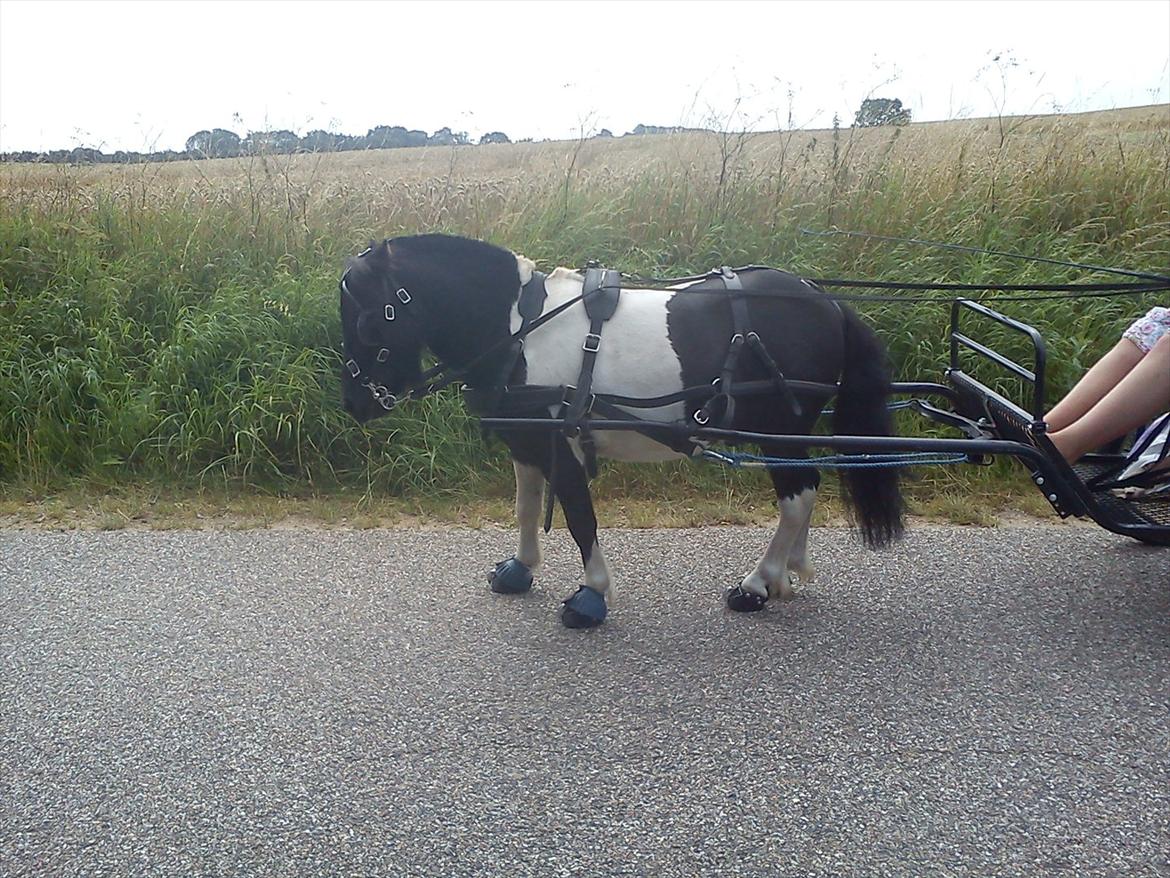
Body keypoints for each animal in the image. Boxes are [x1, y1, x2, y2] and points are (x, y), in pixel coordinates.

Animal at [339, 234, 903, 627]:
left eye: (367, 323)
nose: (356, 405)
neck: (521, 331)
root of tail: (825, 301)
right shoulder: (527, 441)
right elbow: (526, 506)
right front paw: (520, 568)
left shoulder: (562, 442)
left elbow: (578, 516)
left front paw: (590, 595)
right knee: (805, 491)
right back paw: (789, 570)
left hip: (777, 429)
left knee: (796, 496)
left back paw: (758, 584)